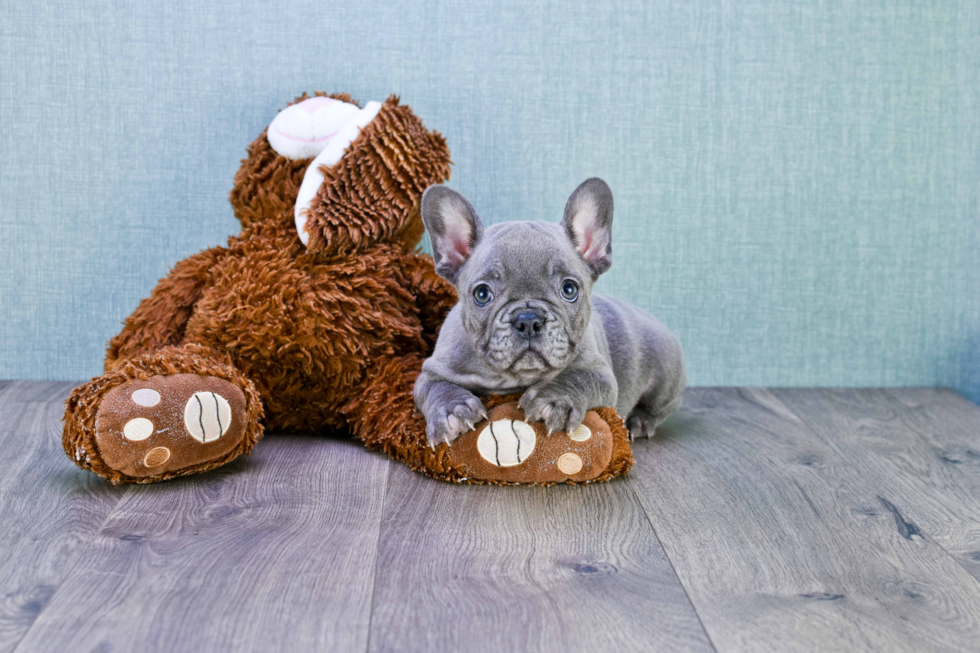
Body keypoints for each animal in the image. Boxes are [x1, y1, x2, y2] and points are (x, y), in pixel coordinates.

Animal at [418, 176, 684, 446]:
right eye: (482, 294)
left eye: (569, 289)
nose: (528, 320)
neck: (515, 379)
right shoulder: (431, 371)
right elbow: (437, 388)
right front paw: (453, 411)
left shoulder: (602, 375)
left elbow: (578, 378)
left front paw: (555, 399)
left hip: (665, 374)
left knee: (659, 407)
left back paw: (640, 421)